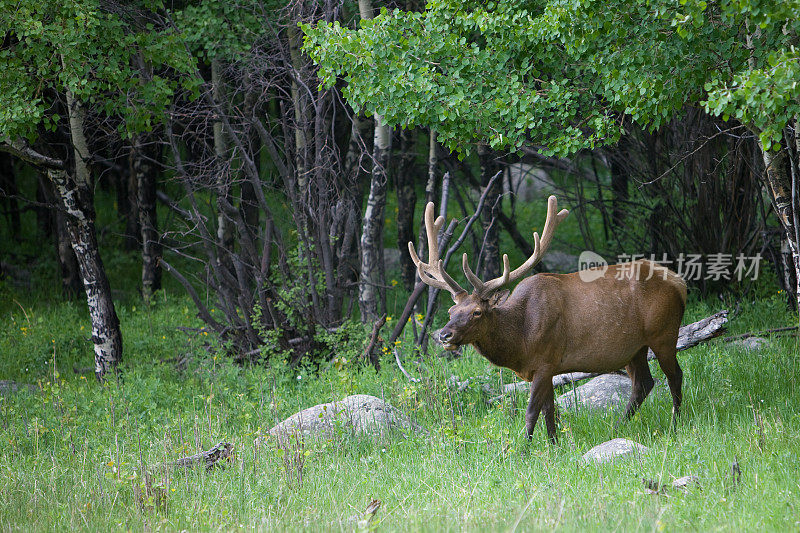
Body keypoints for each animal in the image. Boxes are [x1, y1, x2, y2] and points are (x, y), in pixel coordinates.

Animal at [406, 195, 688, 440]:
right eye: (451, 312)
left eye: (477, 312)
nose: (444, 335)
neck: (520, 341)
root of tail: (679, 282)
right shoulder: (547, 367)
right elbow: (549, 411)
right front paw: (554, 446)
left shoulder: (545, 359)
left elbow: (532, 412)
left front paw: (523, 450)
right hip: (633, 348)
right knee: (643, 384)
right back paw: (617, 427)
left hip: (664, 332)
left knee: (675, 376)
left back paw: (675, 425)